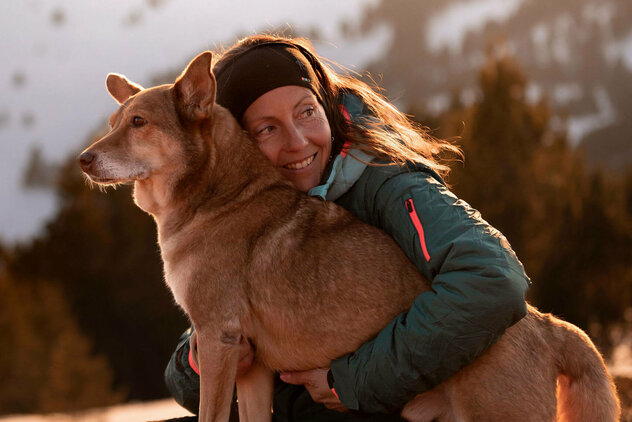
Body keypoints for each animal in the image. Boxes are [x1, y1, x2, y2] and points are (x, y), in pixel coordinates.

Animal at [76, 52, 620, 422]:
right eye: (114, 122)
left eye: (139, 123)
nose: (82, 160)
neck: (219, 195)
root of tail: (545, 323)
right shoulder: (252, 368)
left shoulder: (217, 340)